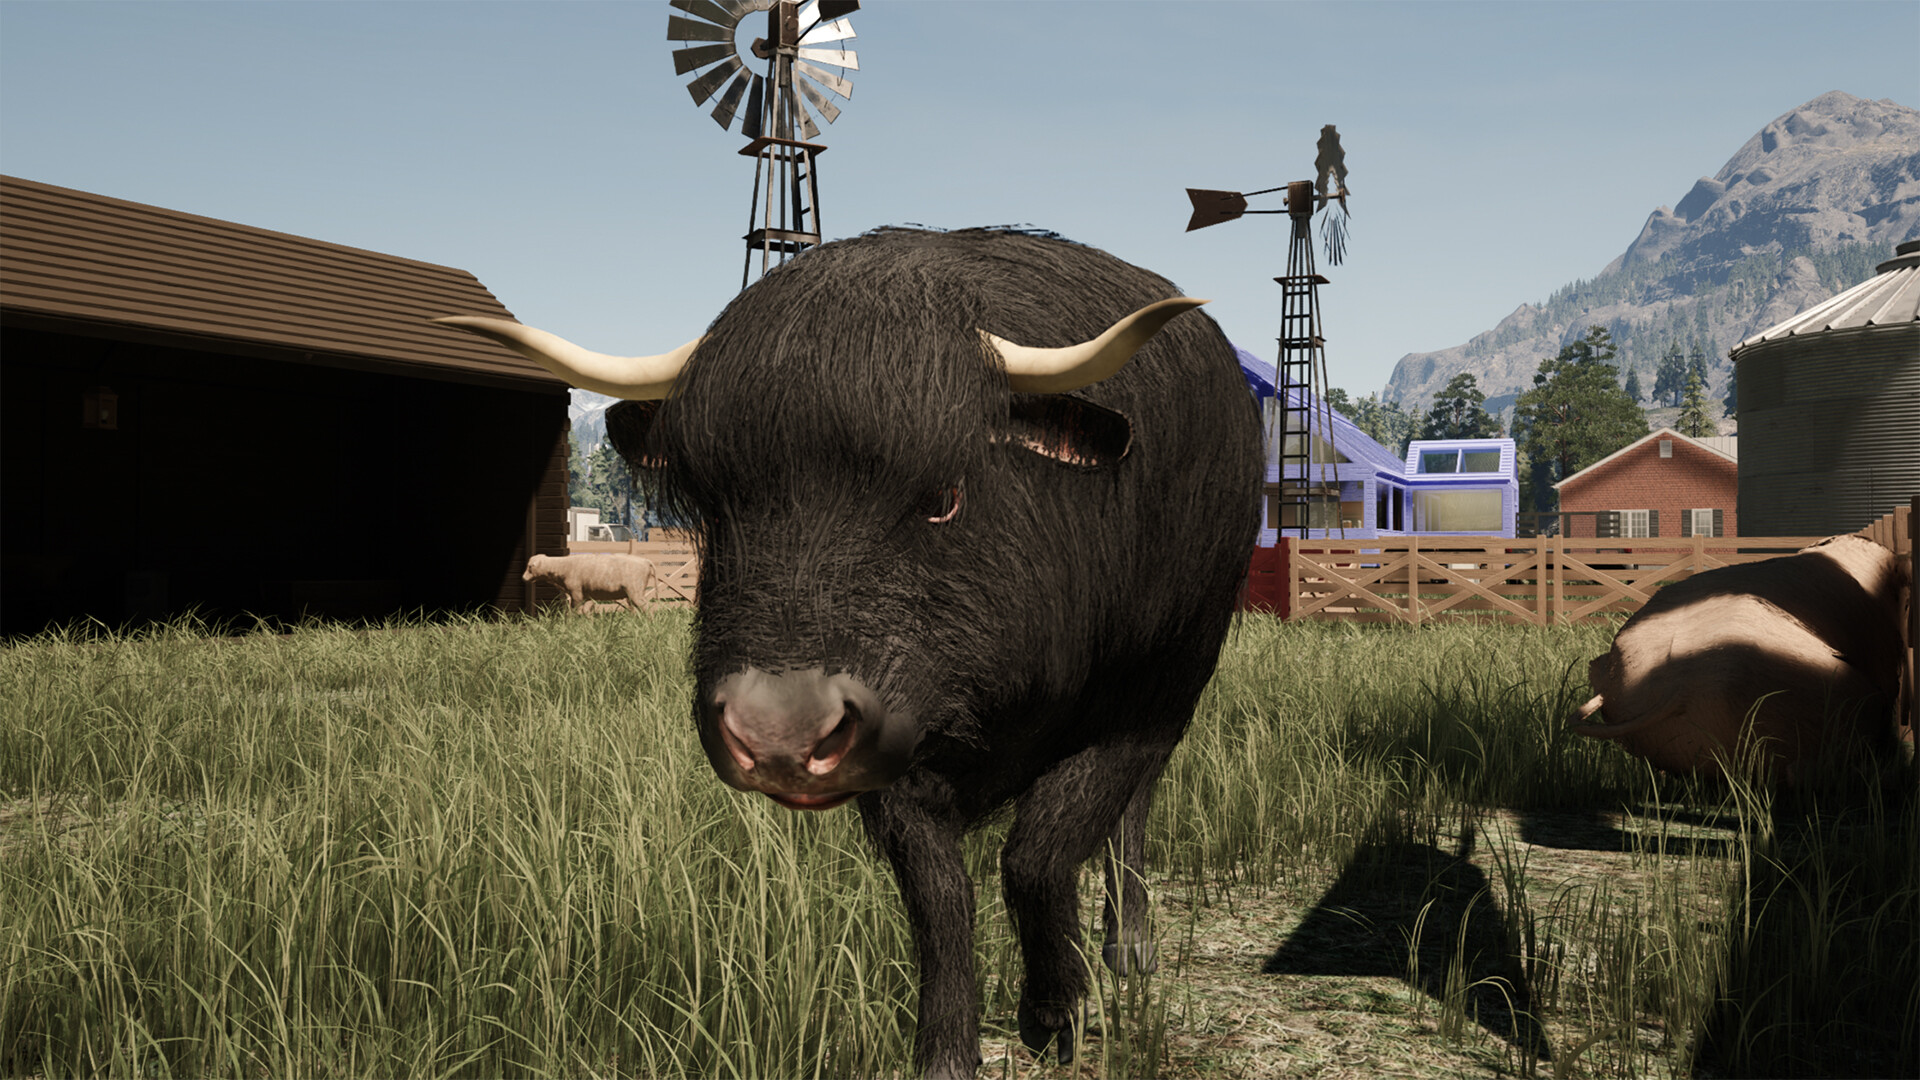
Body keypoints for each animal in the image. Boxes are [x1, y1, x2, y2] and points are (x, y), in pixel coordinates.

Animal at [522, 552, 657, 614]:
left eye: (529, 567)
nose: (523, 578)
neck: (562, 566)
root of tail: (646, 561)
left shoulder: (576, 594)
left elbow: (573, 611)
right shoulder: (587, 596)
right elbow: (586, 611)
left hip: (636, 592)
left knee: (647, 608)